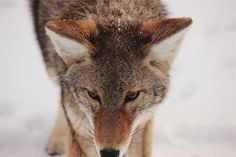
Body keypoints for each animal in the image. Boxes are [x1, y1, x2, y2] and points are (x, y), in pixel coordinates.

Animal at [30, 0, 192, 157]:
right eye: (93, 95)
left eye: (132, 95)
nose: (109, 153)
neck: (115, 11)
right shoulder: (82, 132)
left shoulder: (142, 125)